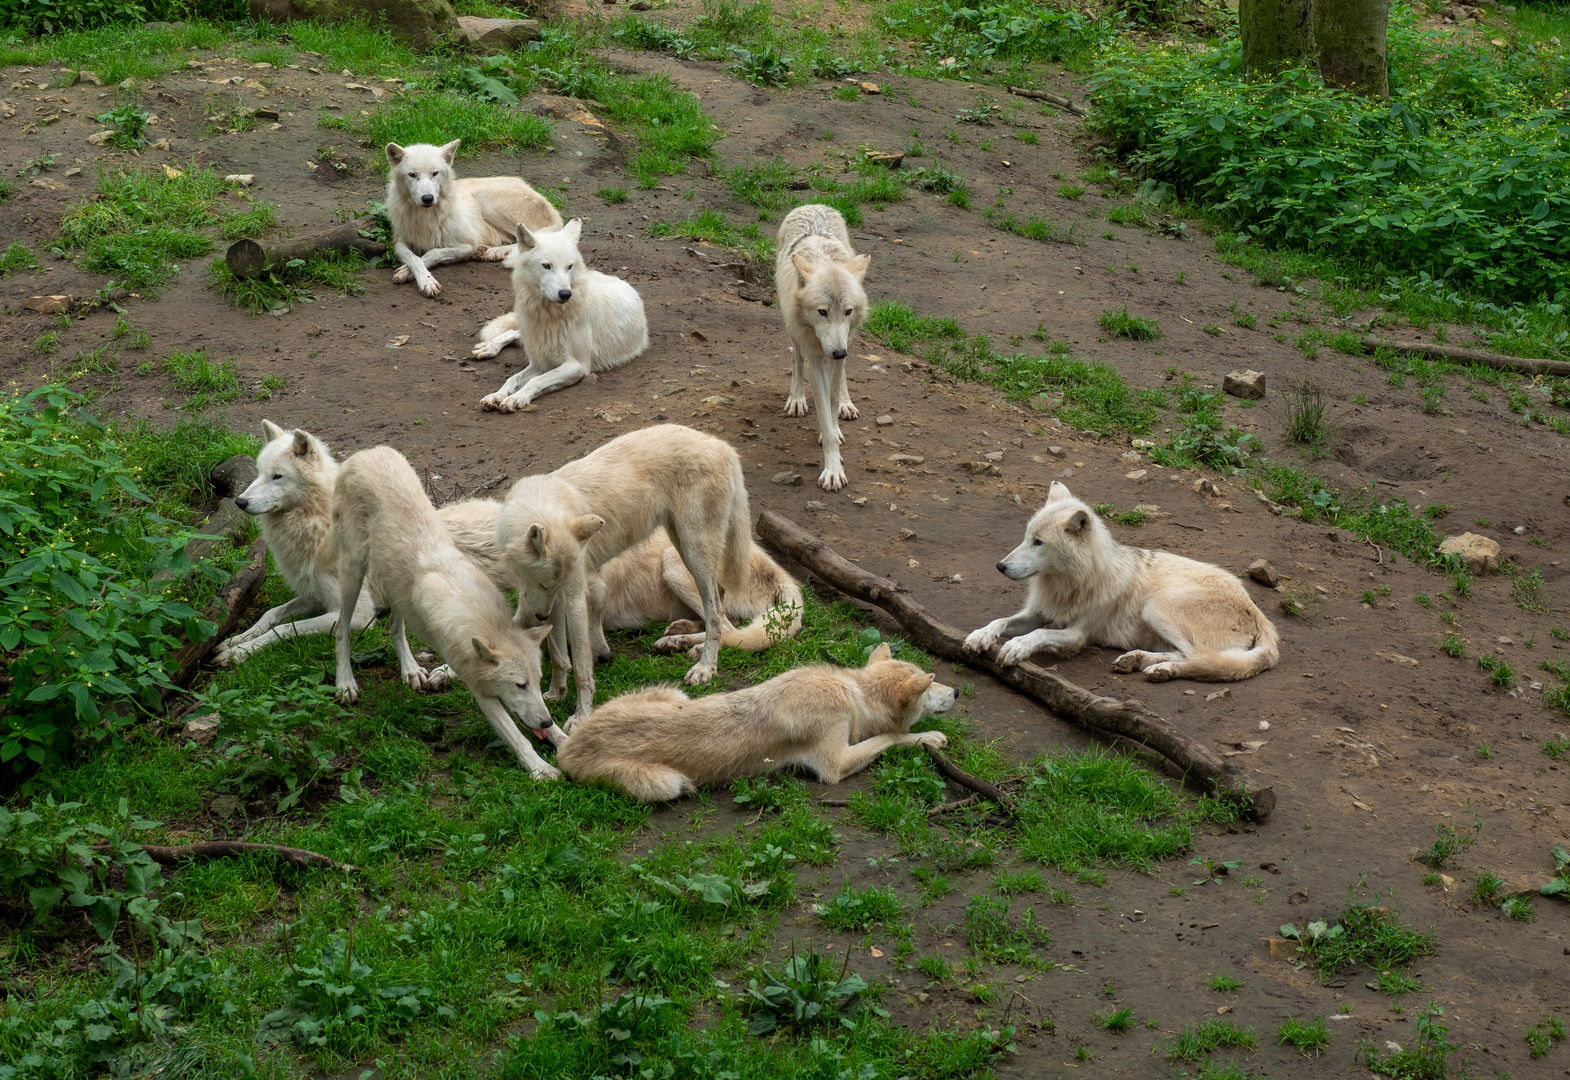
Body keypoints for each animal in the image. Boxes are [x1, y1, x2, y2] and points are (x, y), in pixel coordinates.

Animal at [215, 420, 502, 665]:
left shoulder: (360, 615)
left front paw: (240, 652)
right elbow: (271, 614)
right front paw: (235, 640)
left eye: (277, 476)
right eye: (259, 474)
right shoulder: (314, 595)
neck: (315, 524)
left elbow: (286, 628)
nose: (239, 501)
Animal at [383, 141, 562, 299]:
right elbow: (414, 258)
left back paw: (493, 252)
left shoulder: (467, 245)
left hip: (486, 199)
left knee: (527, 239)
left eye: (435, 173)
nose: (428, 198)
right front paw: (417, 276)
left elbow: (432, 252)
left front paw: (417, 277)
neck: (425, 217)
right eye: (412, 175)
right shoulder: (399, 243)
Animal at [477, 216, 649, 411]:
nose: (566, 294)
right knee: (514, 332)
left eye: (569, 266)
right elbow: (512, 378)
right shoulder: (540, 362)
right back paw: (488, 347)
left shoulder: (576, 366)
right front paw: (496, 395)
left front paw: (516, 398)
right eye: (546, 266)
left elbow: (536, 381)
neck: (548, 315)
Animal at [772, 204, 872, 492]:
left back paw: (847, 405)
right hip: (793, 329)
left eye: (847, 311)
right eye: (822, 311)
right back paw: (797, 399)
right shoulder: (816, 357)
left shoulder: (841, 344)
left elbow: (833, 397)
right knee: (796, 361)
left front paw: (837, 425)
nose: (838, 353)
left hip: (848, 339)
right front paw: (833, 470)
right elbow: (823, 413)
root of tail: (814, 204)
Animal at [960, 483, 1281, 684]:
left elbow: (1038, 634)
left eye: (1038, 542)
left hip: (1155, 607)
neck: (1070, 584)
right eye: (1026, 537)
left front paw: (1017, 646)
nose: (1000, 566)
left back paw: (1161, 669)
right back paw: (1139, 661)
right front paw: (980, 636)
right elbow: (1001, 620)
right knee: (1192, 655)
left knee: (1202, 659)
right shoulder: (1038, 613)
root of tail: (1257, 612)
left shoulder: (1076, 635)